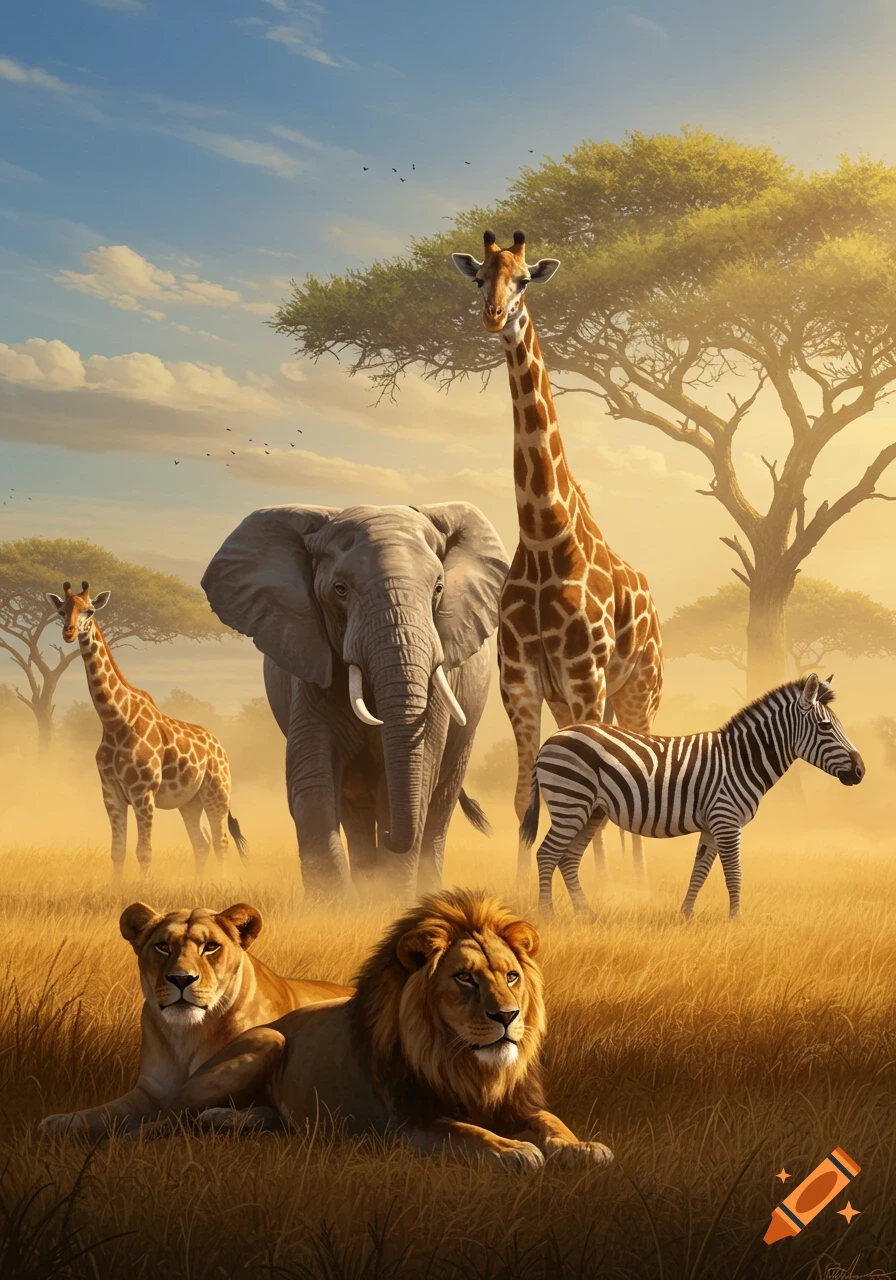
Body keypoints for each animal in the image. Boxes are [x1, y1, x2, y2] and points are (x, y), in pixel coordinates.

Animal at [39, 901, 352, 1138]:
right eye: (162, 946)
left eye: (211, 947)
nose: (181, 979)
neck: (186, 1035)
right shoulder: (149, 1093)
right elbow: (103, 1112)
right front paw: (58, 1121)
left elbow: (262, 1112)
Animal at [161, 889, 613, 1169]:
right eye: (465, 978)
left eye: (512, 977)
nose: (508, 1016)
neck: (468, 1065)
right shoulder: (409, 1122)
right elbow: (469, 1132)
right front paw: (514, 1148)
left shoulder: (521, 1103)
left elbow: (552, 1122)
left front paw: (582, 1147)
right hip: (266, 1042)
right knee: (173, 1116)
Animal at [201, 502, 510, 901]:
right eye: (340, 589)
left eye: (439, 588)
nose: (391, 837)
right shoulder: (309, 665)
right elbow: (312, 780)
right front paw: (337, 907)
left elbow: (416, 776)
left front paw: (390, 900)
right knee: (356, 810)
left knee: (439, 803)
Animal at [519, 673, 864, 922]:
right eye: (825, 727)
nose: (860, 771)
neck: (741, 759)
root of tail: (551, 739)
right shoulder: (726, 820)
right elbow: (734, 873)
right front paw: (737, 921)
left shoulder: (713, 824)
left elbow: (699, 871)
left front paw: (685, 916)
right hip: (571, 802)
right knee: (547, 854)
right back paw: (548, 915)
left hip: (591, 811)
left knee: (568, 858)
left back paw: (585, 914)